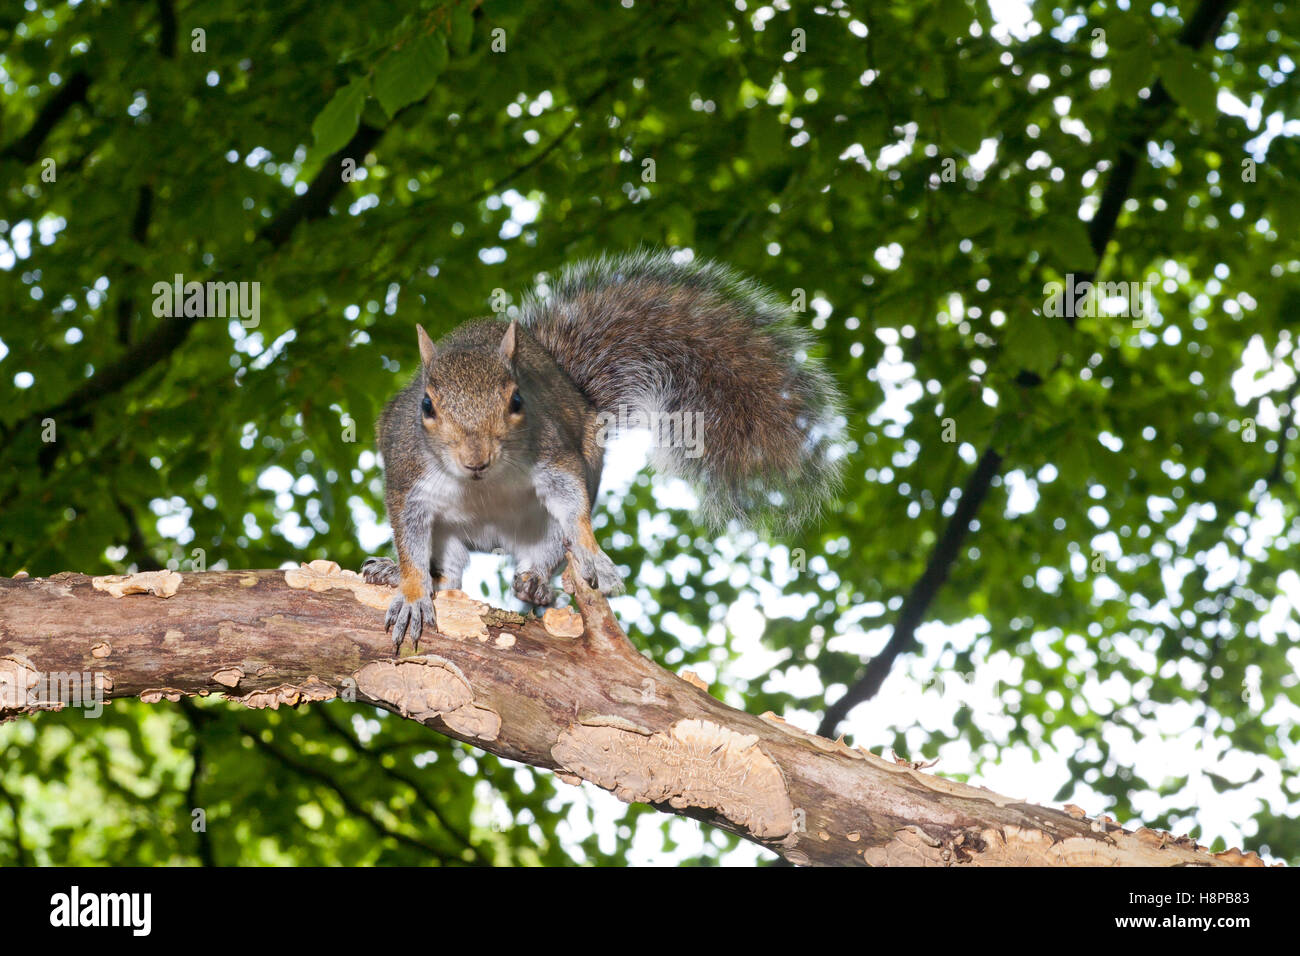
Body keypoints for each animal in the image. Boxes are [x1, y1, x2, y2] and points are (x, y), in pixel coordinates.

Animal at [361, 251, 842, 650]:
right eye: (426, 405)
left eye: (517, 401)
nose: (475, 460)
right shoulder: (408, 477)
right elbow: (410, 538)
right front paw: (410, 593)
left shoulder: (553, 454)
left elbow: (572, 504)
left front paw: (594, 554)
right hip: (449, 534)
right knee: (447, 571)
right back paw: (399, 572)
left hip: (543, 527)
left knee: (542, 551)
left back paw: (535, 582)